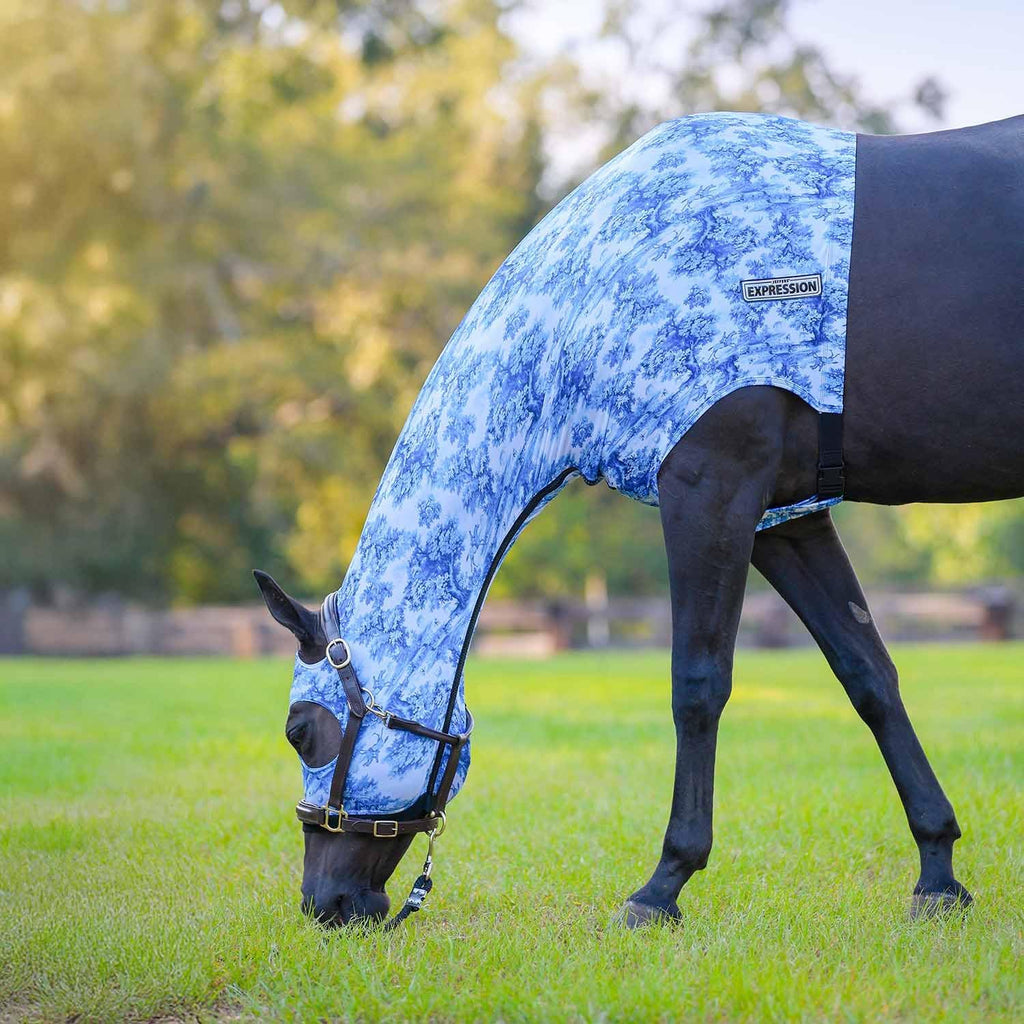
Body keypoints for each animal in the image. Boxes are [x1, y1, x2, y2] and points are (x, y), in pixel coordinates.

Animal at [255, 111, 1023, 929]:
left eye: (300, 731)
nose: (326, 905)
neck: (592, 290)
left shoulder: (710, 491)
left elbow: (698, 685)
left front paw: (663, 885)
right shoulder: (786, 520)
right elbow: (868, 676)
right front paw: (938, 872)